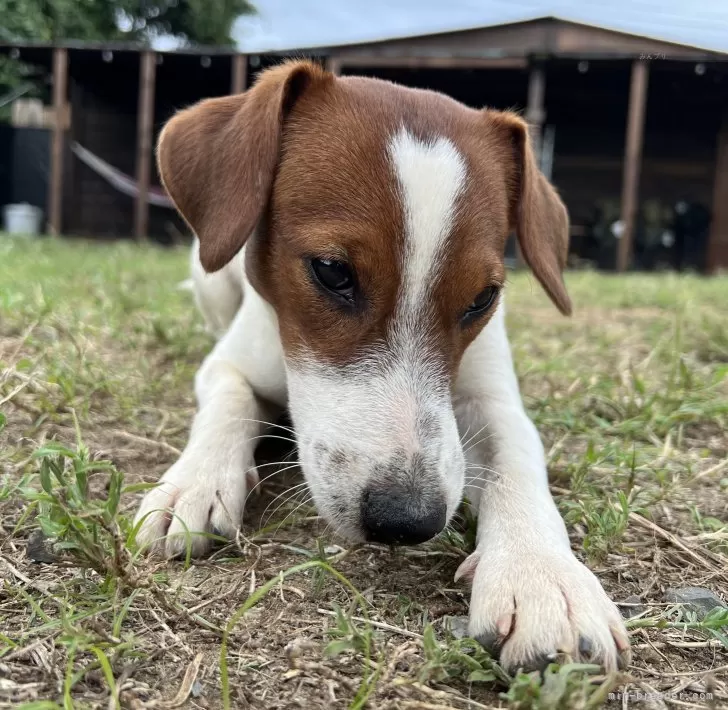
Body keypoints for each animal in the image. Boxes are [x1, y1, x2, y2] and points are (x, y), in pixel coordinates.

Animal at [135, 59, 632, 672]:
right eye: (331, 271)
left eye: (482, 298)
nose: (406, 520)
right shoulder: (230, 365)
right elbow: (227, 404)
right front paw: (194, 483)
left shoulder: (494, 399)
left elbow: (517, 460)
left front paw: (543, 576)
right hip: (208, 278)